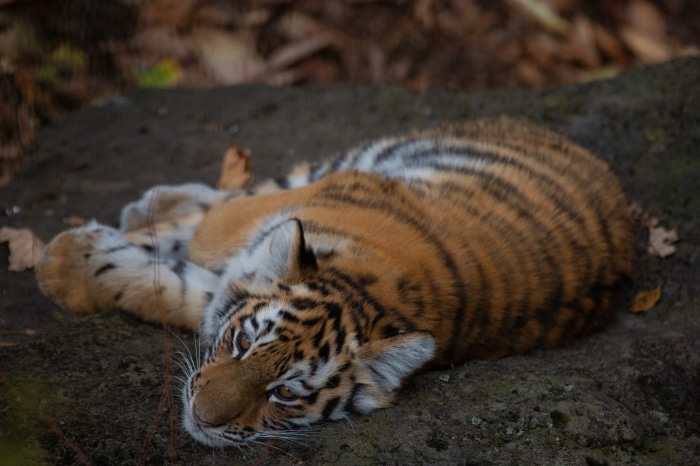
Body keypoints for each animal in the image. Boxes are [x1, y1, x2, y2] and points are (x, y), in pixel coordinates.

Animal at [35, 117, 633, 448]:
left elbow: (172, 286)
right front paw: (65, 256)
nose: (201, 419)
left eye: (286, 393)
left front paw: (65, 263)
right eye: (241, 343)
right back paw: (151, 204)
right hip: (346, 167)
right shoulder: (250, 230)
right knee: (236, 194)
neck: (359, 285)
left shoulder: (217, 285)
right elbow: (202, 237)